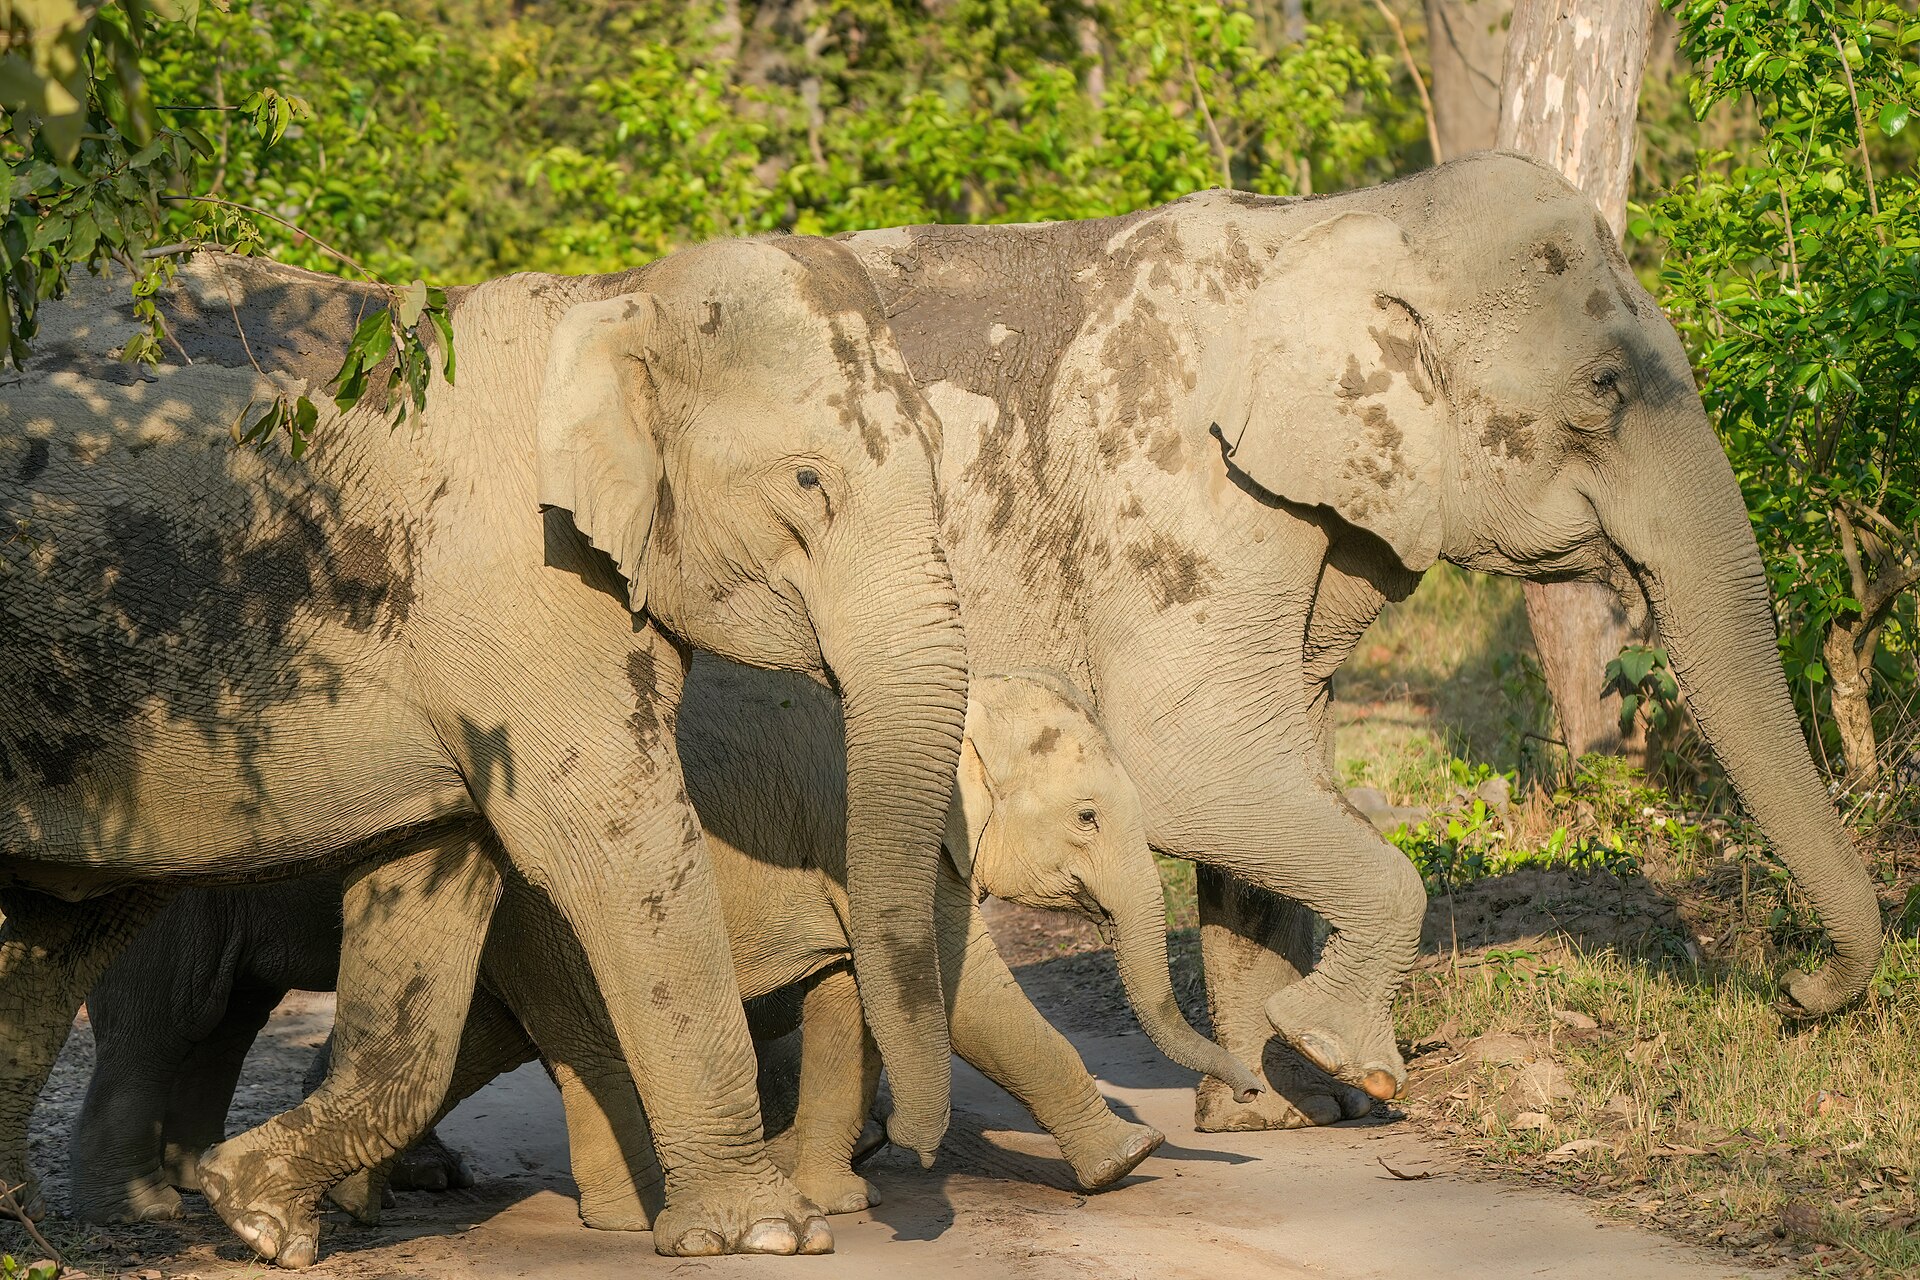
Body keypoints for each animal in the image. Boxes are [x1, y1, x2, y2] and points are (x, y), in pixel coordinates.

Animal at [0, 234, 970, 1261]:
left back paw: (27, 1215)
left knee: (59, 932)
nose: (902, 1153)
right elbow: (620, 854)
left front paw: (259, 1214)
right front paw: (767, 1233)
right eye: (807, 481)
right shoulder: (515, 590)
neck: (610, 301)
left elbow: (432, 895)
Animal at [822, 150, 1885, 1128]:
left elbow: (1279, 760)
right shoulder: (1170, 477)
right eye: (1602, 389)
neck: (1350, 221)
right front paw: (1345, 1060)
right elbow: (1194, 763)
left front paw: (1275, 1109)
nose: (1796, 997)